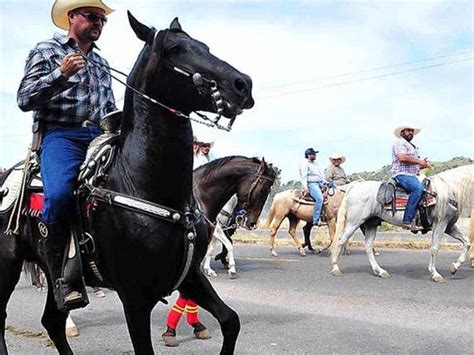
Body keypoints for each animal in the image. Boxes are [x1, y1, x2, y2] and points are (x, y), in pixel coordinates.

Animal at [0, 12, 256, 354]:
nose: (242, 84)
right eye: (175, 49)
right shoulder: (135, 297)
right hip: (6, 264)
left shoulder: (190, 277)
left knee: (52, 321)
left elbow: (231, 321)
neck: (141, 183)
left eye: (205, 46)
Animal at [332, 168, 472, 284]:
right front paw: (435, 274)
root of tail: (355, 186)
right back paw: (335, 268)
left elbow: (467, 242)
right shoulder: (440, 224)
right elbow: (435, 248)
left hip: (371, 223)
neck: (448, 190)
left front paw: (454, 267)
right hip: (354, 222)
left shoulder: (449, 226)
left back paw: (380, 271)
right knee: (341, 240)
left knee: (368, 246)